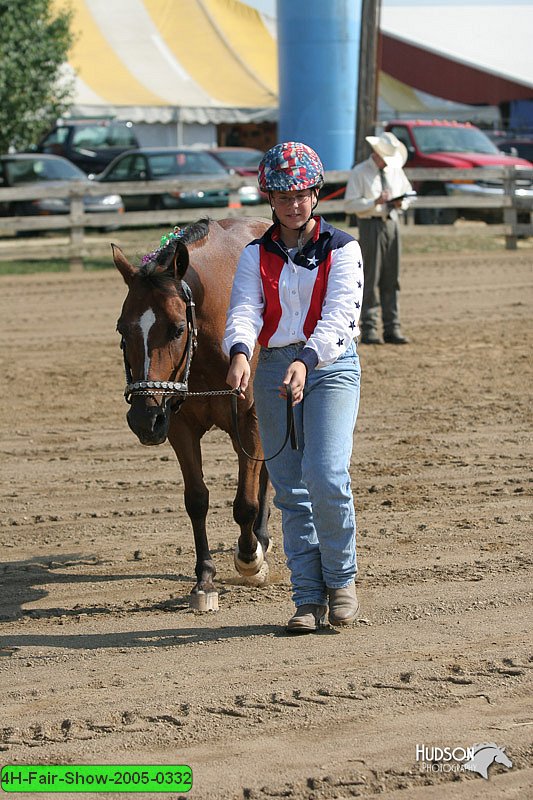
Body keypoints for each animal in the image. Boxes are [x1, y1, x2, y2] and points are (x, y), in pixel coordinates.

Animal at [111, 217, 270, 608]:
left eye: (177, 328)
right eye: (122, 329)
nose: (143, 419)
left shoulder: (252, 420)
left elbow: (245, 502)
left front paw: (250, 558)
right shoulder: (177, 425)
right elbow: (196, 500)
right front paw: (205, 579)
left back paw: (261, 539)